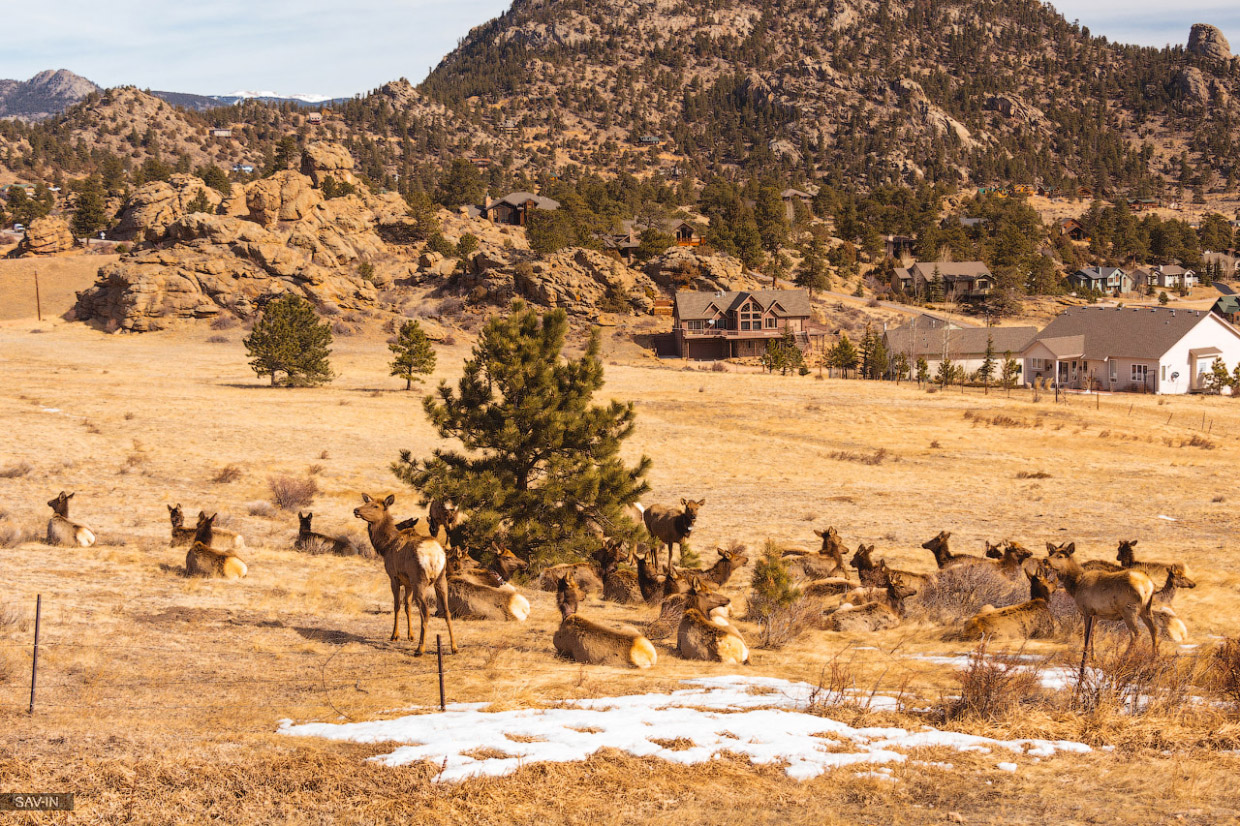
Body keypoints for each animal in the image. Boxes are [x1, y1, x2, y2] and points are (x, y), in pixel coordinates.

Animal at [352, 491, 458, 654]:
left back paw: (420, 649)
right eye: (366, 502)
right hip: (441, 579)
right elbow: (407, 606)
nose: (356, 510)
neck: (385, 546)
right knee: (446, 611)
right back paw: (454, 647)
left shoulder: (394, 576)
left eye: (375, 506)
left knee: (425, 612)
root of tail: (434, 556)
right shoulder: (407, 582)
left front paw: (395, 636)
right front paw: (410, 635)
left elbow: (397, 605)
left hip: (419, 579)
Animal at [1046, 540, 1160, 674]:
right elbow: (1093, 634)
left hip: (1129, 609)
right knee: (1154, 630)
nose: (1045, 560)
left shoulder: (1087, 610)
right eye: (1051, 553)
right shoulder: (1096, 614)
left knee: (1136, 633)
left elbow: (1085, 634)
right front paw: (1093, 657)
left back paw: (1123, 659)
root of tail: (1148, 585)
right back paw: (1153, 661)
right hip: (1146, 608)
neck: (1076, 585)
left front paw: (1084, 659)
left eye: (1060, 556)